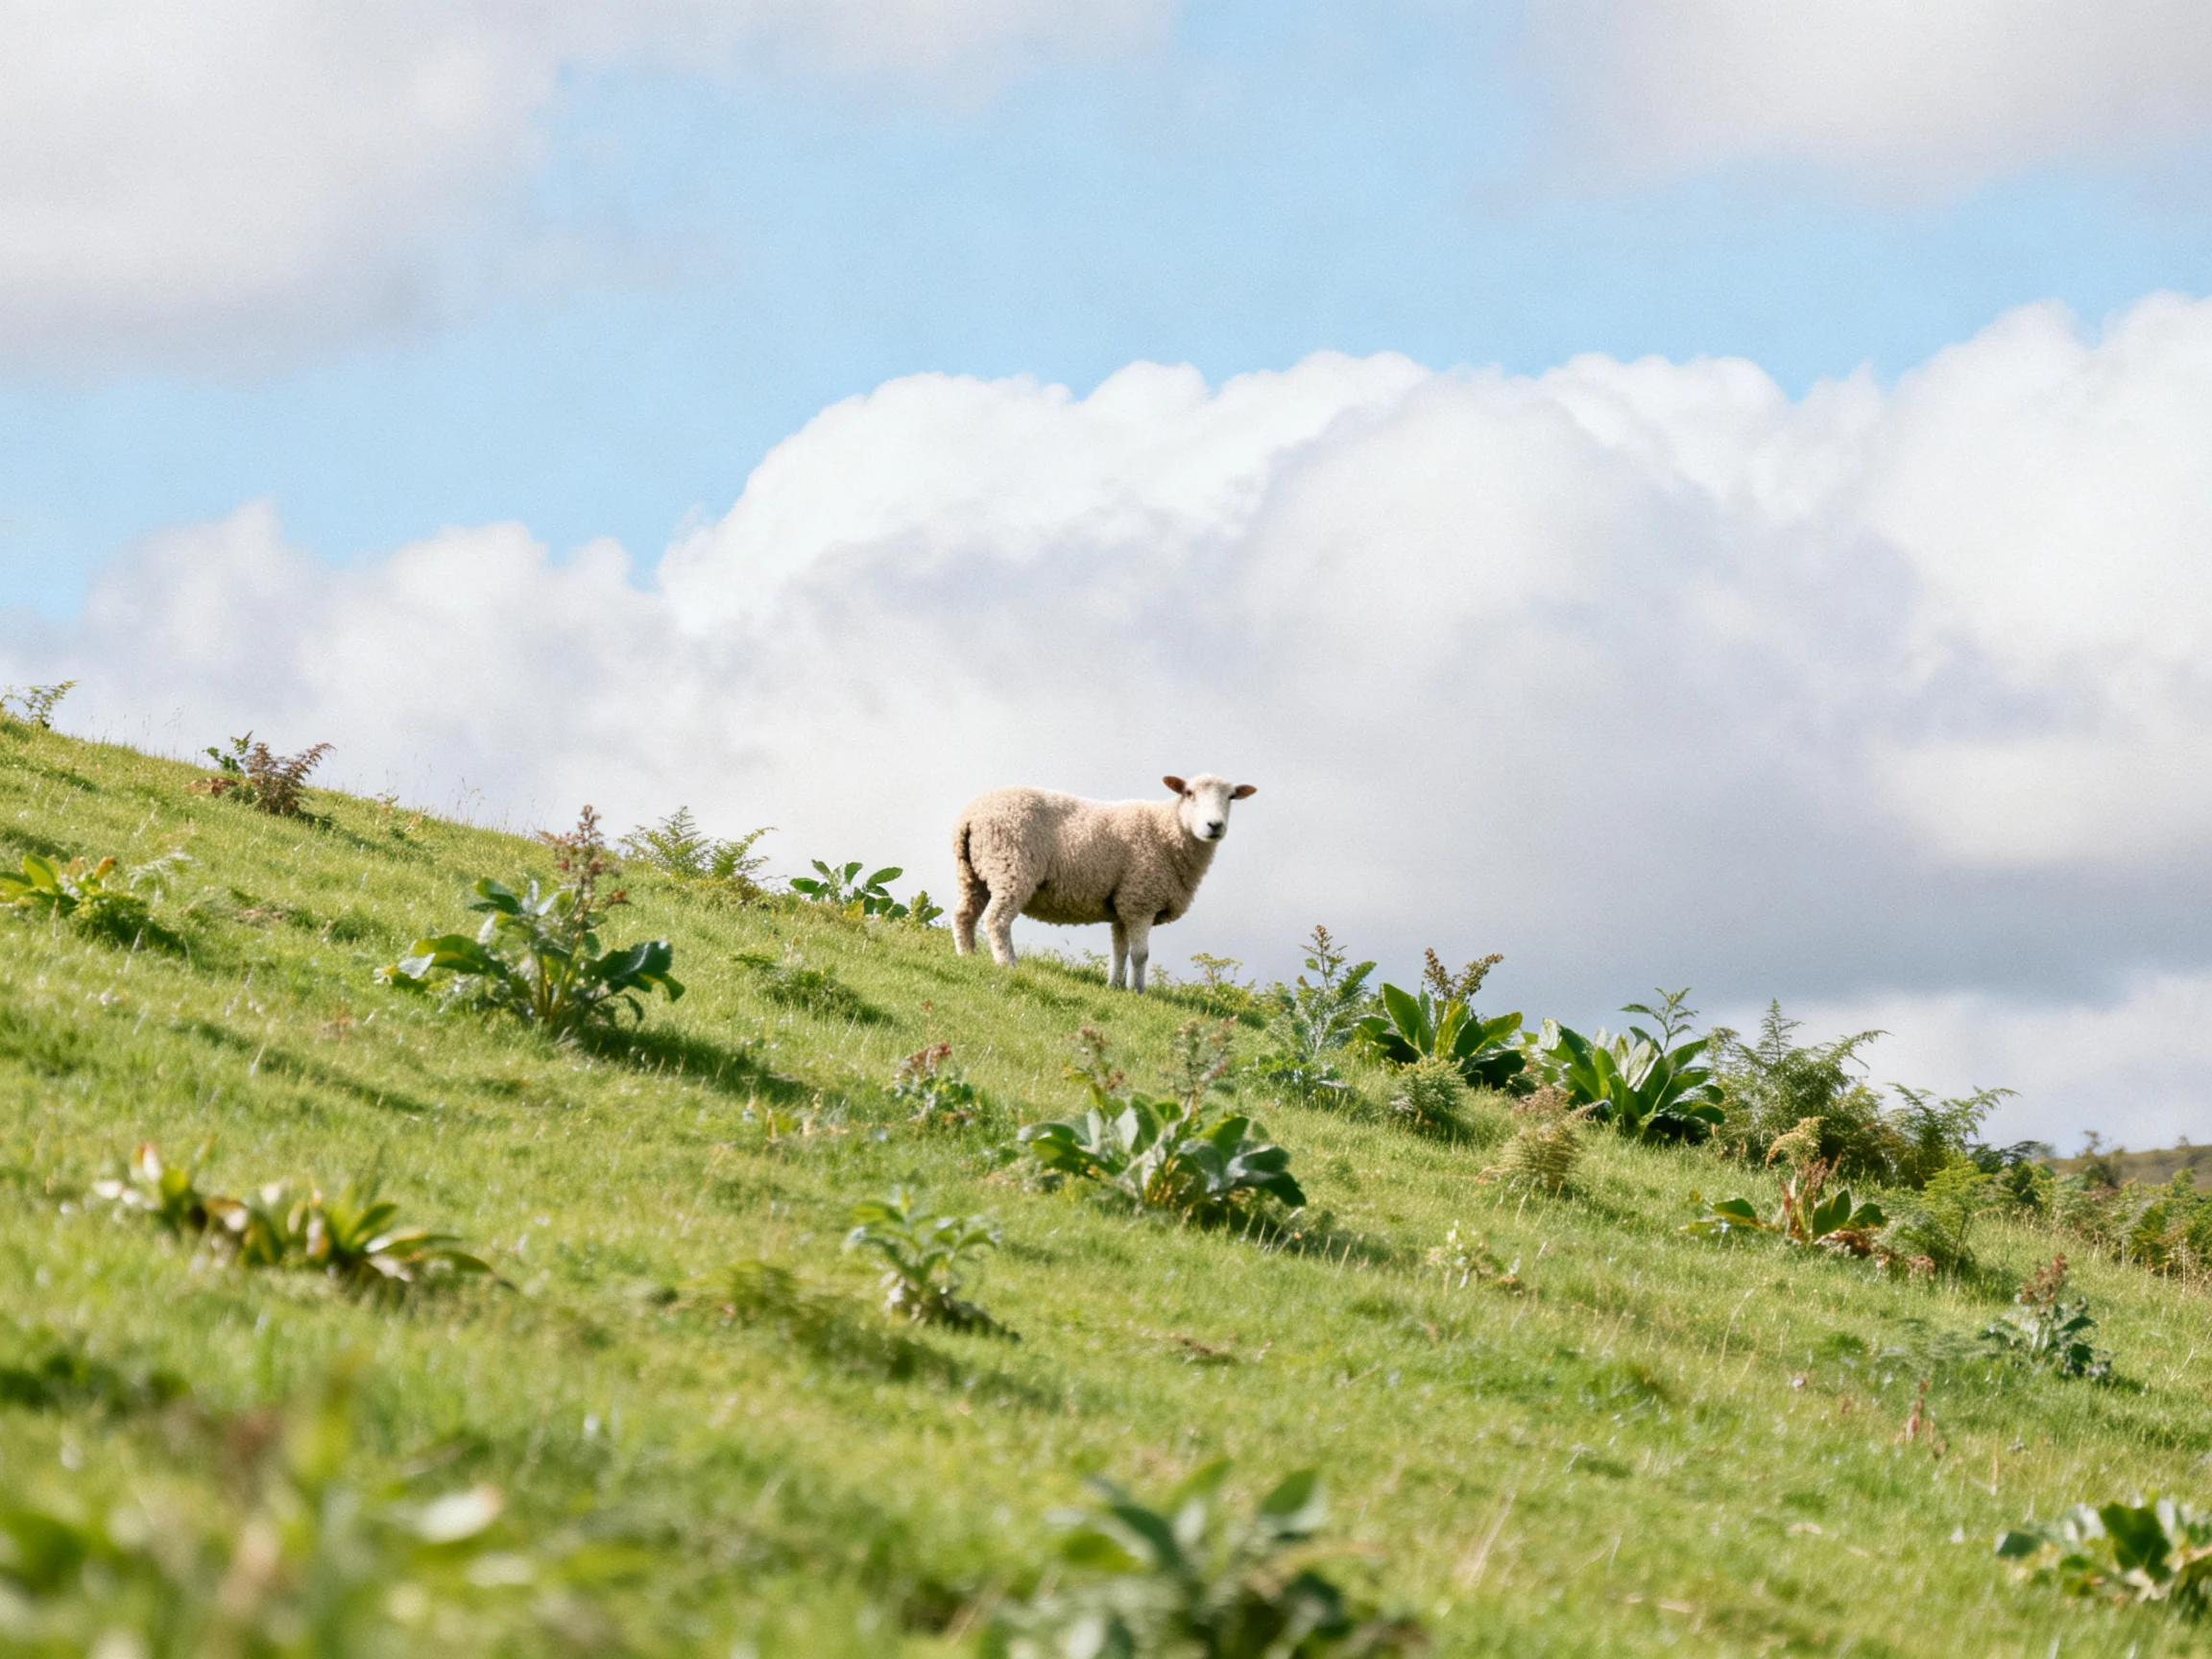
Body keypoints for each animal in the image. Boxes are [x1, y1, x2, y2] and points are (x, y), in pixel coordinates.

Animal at [951, 774, 1257, 992]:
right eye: (1189, 793)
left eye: (1231, 797)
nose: (1214, 825)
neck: (1170, 830)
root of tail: (972, 815)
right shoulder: (1141, 900)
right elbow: (1140, 954)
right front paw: (1138, 991)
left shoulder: (1123, 905)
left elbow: (1119, 952)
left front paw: (1114, 987)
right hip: (1011, 867)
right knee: (997, 920)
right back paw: (1007, 964)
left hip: (973, 872)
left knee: (964, 915)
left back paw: (967, 955)